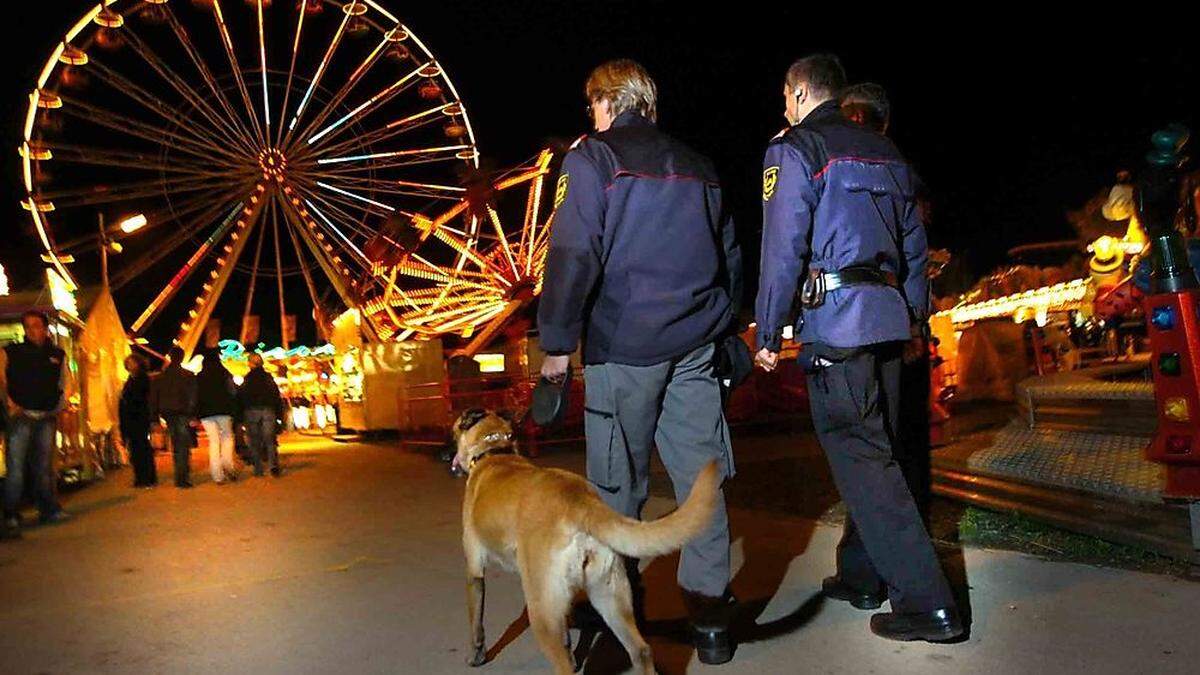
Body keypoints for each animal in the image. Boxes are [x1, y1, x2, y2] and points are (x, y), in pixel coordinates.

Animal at [451, 408, 710, 667]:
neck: (493, 451)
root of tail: (581, 502)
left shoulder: (474, 571)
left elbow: (476, 623)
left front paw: (476, 655)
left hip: (543, 613)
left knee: (562, 662)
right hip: (608, 595)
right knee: (641, 650)